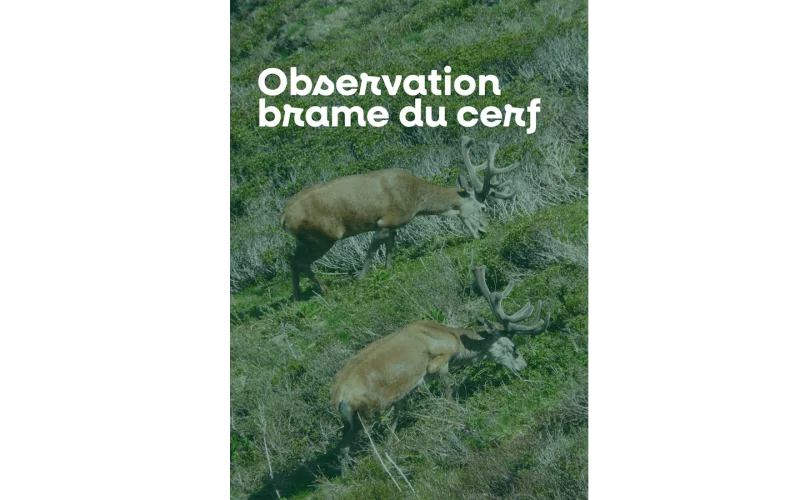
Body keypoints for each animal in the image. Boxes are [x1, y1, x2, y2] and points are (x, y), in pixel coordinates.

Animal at [280, 136, 519, 301]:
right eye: (483, 206)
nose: (485, 231)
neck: (416, 200)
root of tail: (283, 217)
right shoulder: (385, 220)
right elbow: (372, 250)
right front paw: (361, 276)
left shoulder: (394, 225)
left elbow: (390, 247)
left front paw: (388, 268)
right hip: (323, 236)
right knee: (300, 262)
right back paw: (323, 289)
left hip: (306, 239)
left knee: (293, 261)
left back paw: (298, 296)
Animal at [329, 265, 550, 475]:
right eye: (513, 347)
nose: (523, 366)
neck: (454, 339)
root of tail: (338, 396)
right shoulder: (439, 363)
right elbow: (448, 394)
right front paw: (456, 415)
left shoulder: (404, 391)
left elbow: (397, 415)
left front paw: (393, 441)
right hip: (366, 414)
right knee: (343, 447)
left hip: (350, 420)